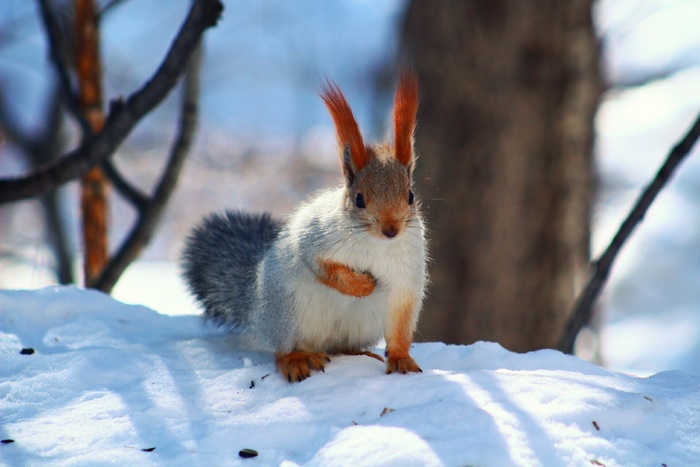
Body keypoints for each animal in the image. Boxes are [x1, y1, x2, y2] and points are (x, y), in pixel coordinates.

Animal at [181, 70, 426, 382]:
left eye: (411, 195)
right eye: (359, 199)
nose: (391, 230)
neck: (376, 244)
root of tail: (258, 312)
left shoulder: (407, 280)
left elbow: (400, 326)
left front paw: (401, 358)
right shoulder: (316, 237)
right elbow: (321, 266)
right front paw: (361, 285)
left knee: (341, 347)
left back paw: (358, 353)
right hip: (289, 311)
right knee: (283, 350)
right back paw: (296, 359)